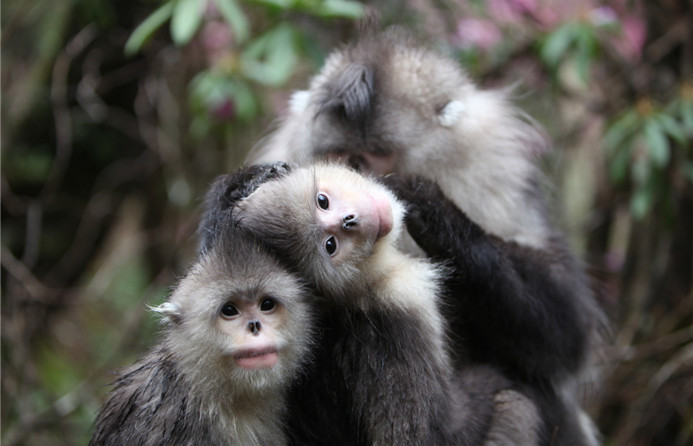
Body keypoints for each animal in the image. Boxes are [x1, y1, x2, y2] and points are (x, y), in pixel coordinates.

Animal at [203, 163, 544, 446]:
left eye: (322, 201)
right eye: (330, 246)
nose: (349, 220)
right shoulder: (399, 302)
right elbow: (429, 437)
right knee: (517, 409)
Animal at [246, 28, 604, 446]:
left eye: (376, 153)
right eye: (341, 154)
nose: (354, 180)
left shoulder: (498, 180)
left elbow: (566, 331)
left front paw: (433, 211)